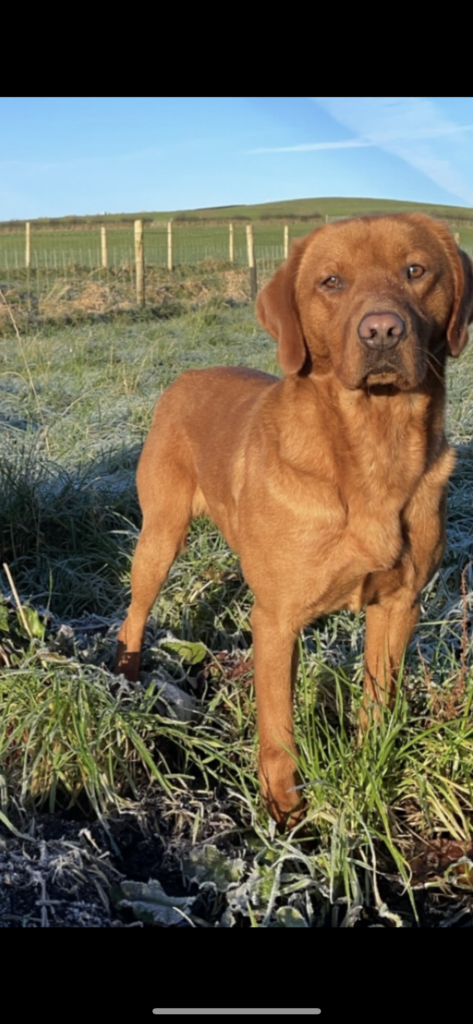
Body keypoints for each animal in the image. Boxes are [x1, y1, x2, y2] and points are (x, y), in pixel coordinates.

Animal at [116, 211, 473, 827]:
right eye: (331, 281)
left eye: (415, 270)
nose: (383, 331)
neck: (372, 448)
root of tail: (186, 375)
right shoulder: (276, 621)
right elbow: (278, 726)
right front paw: (284, 811)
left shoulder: (399, 605)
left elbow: (378, 700)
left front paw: (367, 767)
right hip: (159, 538)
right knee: (134, 614)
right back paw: (127, 680)